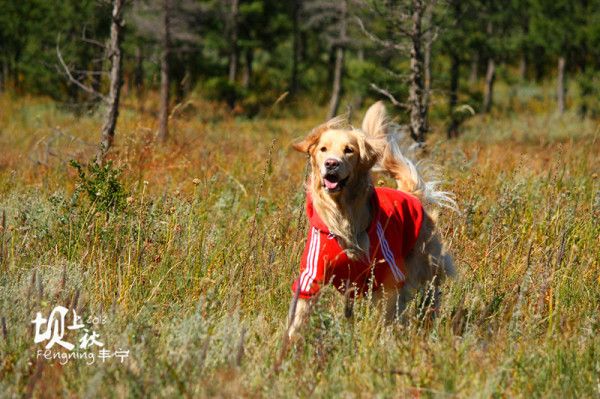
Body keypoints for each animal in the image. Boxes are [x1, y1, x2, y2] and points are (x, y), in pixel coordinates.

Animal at [288, 101, 458, 340]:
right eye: (323, 149)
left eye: (349, 150)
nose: (331, 164)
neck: (343, 217)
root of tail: (409, 194)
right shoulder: (312, 274)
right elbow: (300, 314)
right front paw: (290, 344)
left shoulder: (388, 275)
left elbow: (388, 315)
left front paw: (385, 339)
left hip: (425, 262)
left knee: (431, 292)